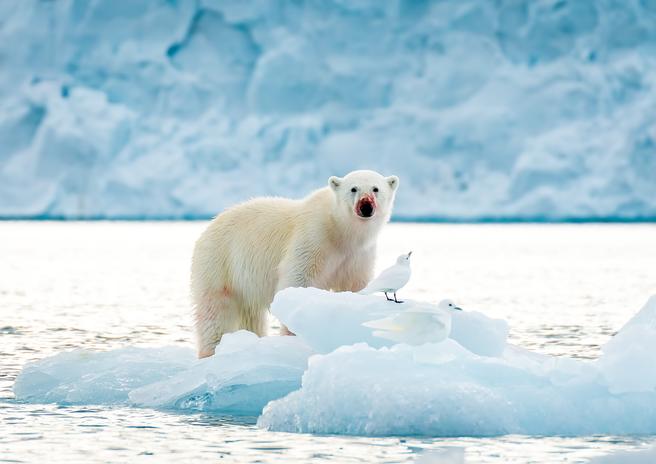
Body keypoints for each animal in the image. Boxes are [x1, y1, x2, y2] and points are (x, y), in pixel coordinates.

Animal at [190, 170, 400, 358]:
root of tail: (210, 226)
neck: (341, 232)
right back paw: (212, 350)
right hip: (220, 262)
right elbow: (298, 279)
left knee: (251, 315)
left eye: (375, 189)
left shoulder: (358, 255)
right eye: (353, 188)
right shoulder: (314, 237)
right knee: (215, 311)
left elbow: (355, 284)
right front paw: (293, 334)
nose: (366, 206)